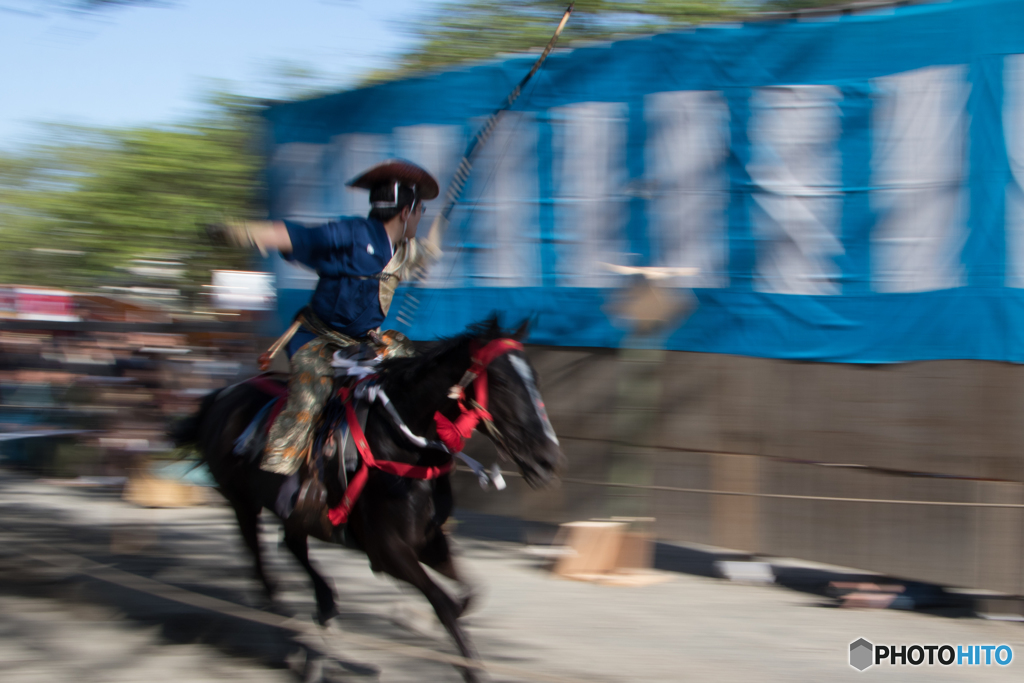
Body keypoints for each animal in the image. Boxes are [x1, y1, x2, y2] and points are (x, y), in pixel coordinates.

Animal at [172, 317, 565, 679]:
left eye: (536, 378)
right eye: (502, 383)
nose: (548, 459)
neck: (401, 446)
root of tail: (222, 395)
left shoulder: (428, 541)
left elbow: (470, 593)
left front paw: (420, 621)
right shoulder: (387, 550)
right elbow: (444, 603)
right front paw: (463, 660)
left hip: (296, 510)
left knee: (293, 545)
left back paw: (325, 612)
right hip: (242, 503)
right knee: (262, 571)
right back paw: (296, 645)